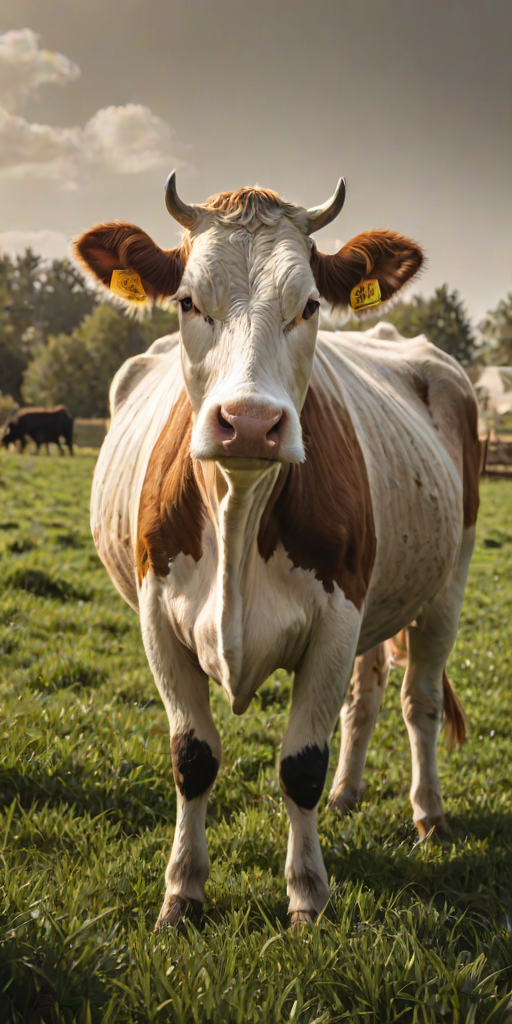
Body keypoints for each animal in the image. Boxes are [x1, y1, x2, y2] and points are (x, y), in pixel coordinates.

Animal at [74, 172, 480, 930]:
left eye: (310, 304)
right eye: (187, 300)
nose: (250, 422)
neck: (240, 506)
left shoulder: (337, 618)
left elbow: (300, 766)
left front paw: (307, 897)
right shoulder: (156, 620)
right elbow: (193, 757)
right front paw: (182, 893)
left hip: (448, 580)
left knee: (419, 700)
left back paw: (429, 815)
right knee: (368, 692)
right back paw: (350, 795)